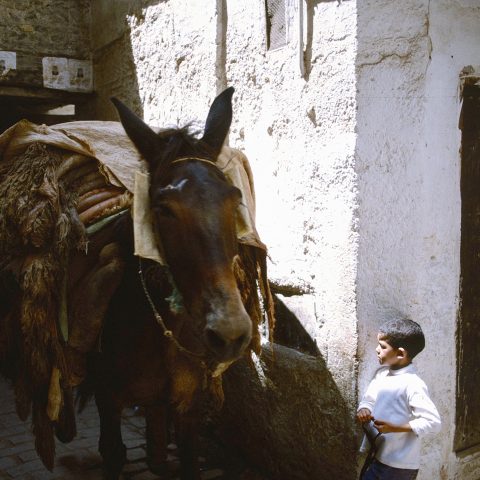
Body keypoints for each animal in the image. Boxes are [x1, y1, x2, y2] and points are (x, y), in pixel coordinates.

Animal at [79, 87, 256, 480]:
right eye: (163, 209)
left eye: (234, 199)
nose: (230, 334)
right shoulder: (107, 401)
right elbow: (112, 452)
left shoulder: (187, 407)